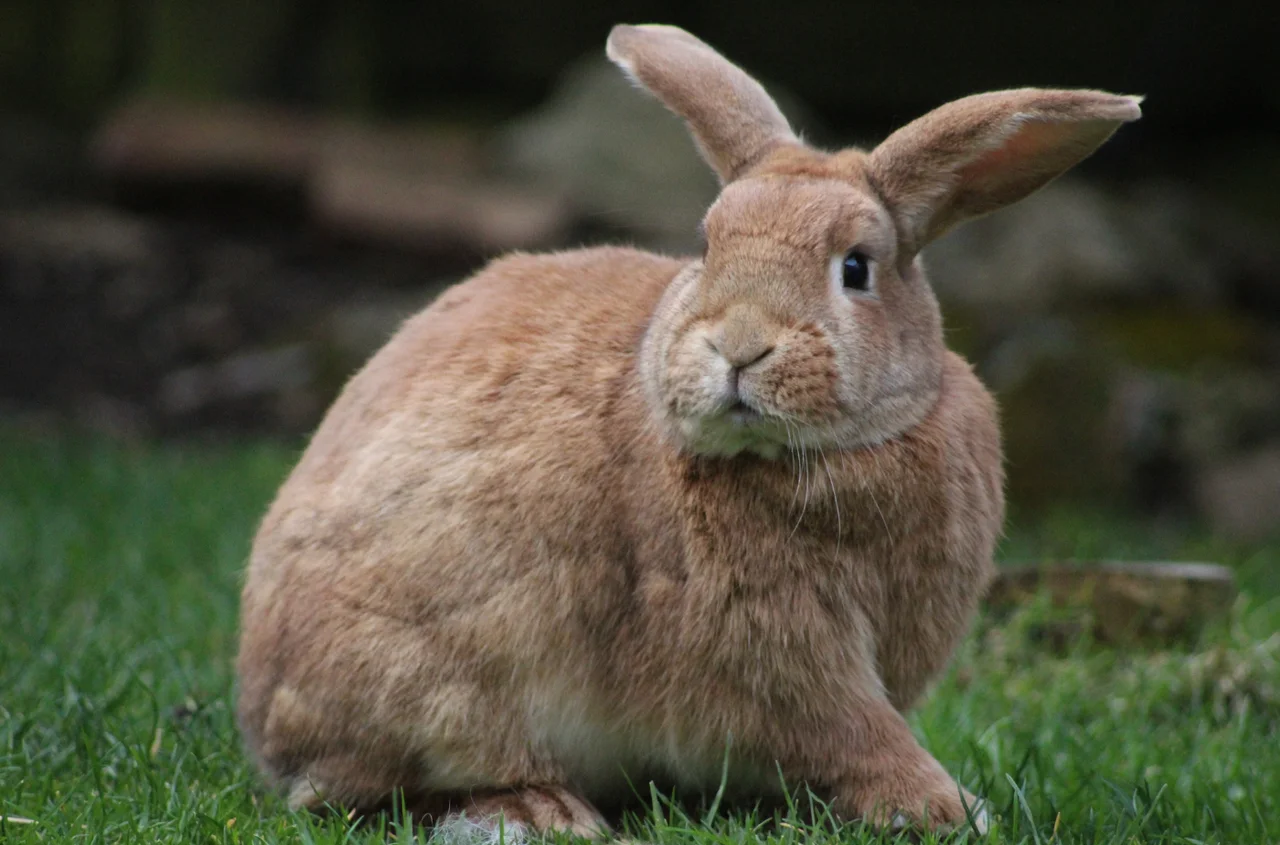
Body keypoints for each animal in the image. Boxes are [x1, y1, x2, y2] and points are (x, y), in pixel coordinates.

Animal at [238, 21, 1141, 839]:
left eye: (856, 267)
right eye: (707, 247)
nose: (738, 345)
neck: (821, 454)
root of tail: (263, 704)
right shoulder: (781, 651)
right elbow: (854, 730)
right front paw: (945, 807)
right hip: (443, 681)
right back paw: (540, 810)